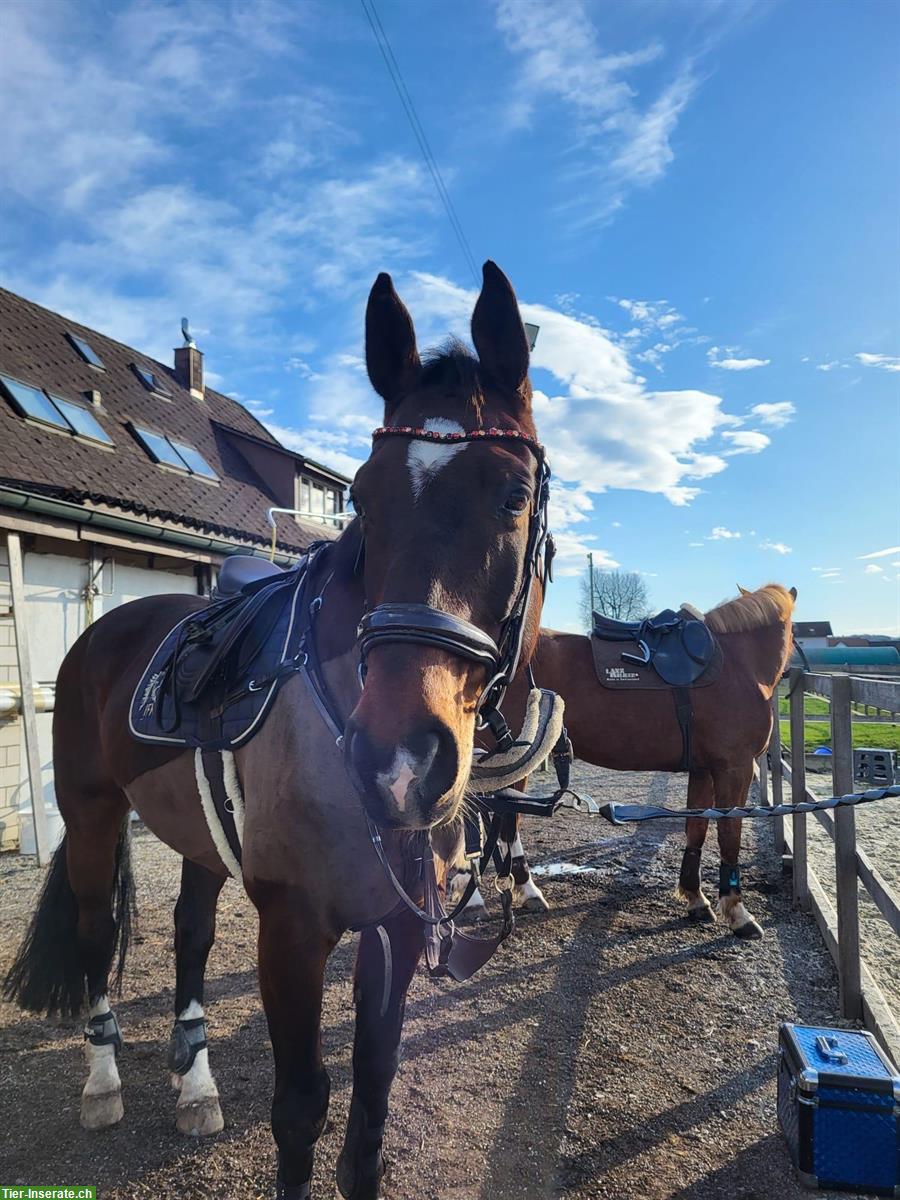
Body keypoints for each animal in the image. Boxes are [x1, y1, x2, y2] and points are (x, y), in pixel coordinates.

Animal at [5, 265, 549, 1200]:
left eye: (513, 497)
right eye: (360, 497)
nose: (399, 761)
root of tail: (107, 632)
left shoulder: (397, 928)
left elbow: (369, 1115)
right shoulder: (292, 933)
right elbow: (301, 1114)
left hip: (196, 835)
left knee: (189, 934)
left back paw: (193, 1083)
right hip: (92, 817)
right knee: (94, 933)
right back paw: (104, 1082)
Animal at [460, 580, 801, 936]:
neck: (739, 663)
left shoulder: (704, 770)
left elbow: (697, 828)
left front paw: (695, 897)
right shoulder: (735, 768)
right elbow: (729, 834)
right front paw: (737, 911)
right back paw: (496, 897)